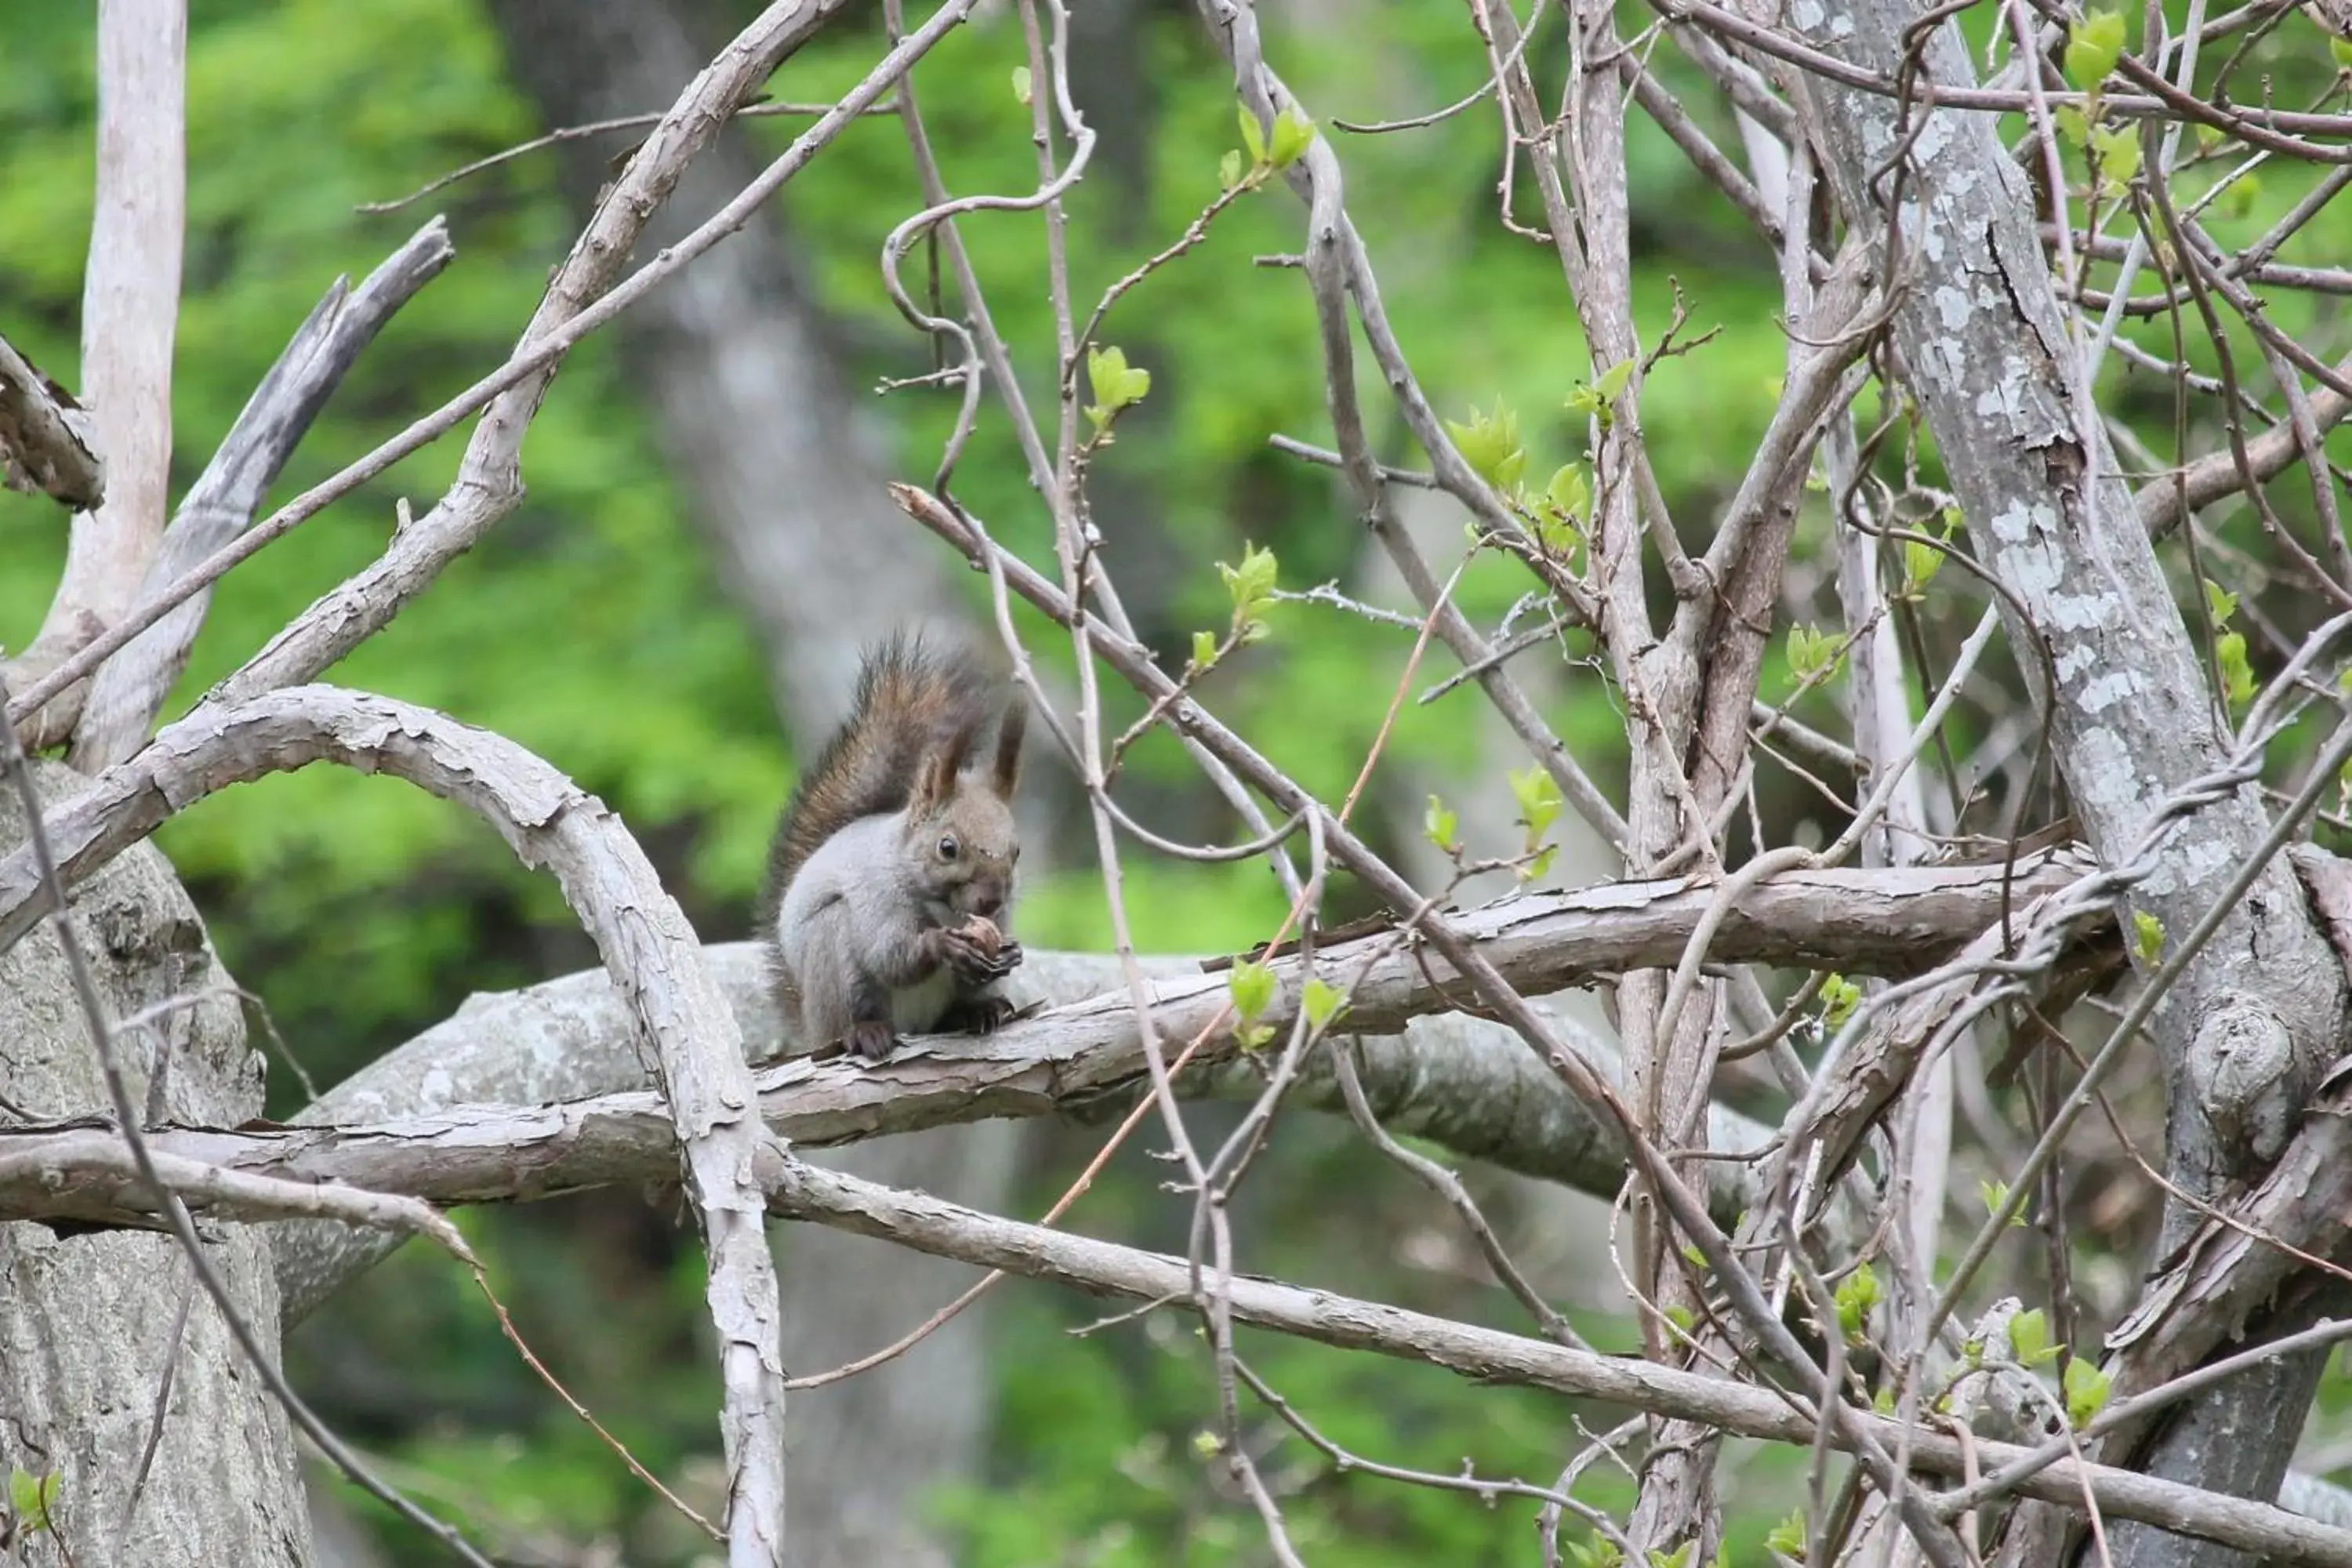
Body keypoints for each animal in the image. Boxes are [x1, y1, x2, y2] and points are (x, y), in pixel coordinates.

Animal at [762, 630, 1030, 1062]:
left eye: (1017, 851)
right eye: (947, 848)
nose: (991, 900)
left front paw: (1011, 954)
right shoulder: (878, 894)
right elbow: (888, 955)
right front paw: (943, 945)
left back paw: (975, 1011)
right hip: (832, 955)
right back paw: (863, 1032)